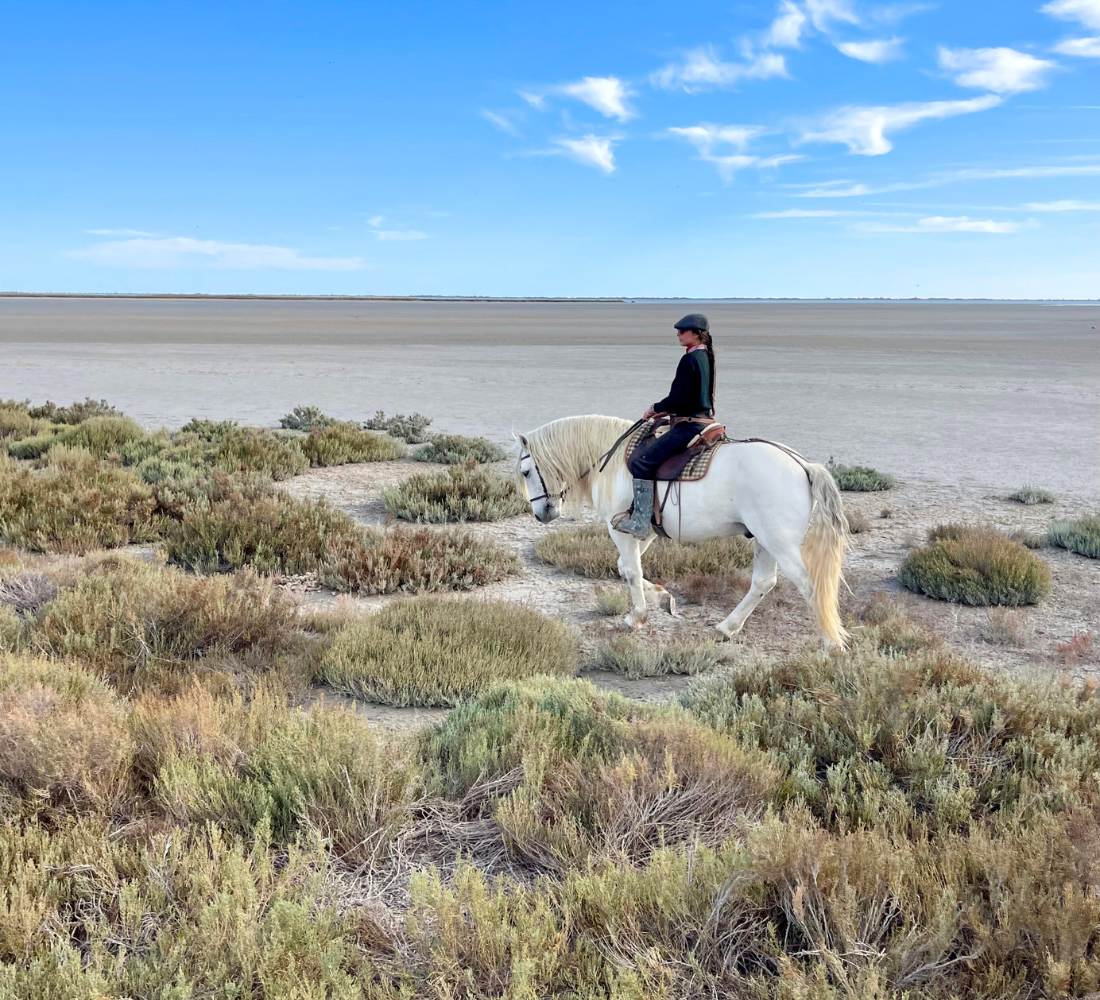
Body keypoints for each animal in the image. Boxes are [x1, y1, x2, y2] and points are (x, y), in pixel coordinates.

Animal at [514, 413, 849, 646]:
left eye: (526, 471)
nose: (541, 513)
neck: (610, 460)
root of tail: (803, 465)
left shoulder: (620, 530)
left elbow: (630, 570)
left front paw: (636, 617)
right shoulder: (643, 531)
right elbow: (624, 567)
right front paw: (663, 598)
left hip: (780, 543)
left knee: (811, 587)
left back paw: (829, 645)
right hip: (765, 541)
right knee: (763, 583)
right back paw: (726, 628)